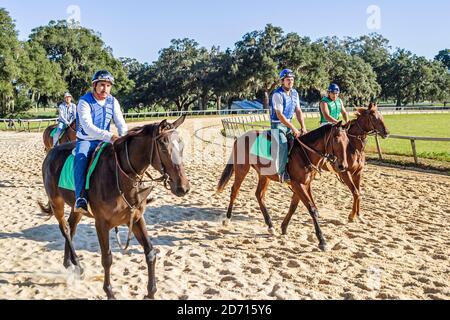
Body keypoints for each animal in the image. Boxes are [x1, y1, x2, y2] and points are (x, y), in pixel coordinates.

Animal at [38, 115, 190, 300]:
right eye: (163, 146)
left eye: (181, 145)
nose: (183, 187)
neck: (121, 176)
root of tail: (51, 153)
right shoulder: (101, 224)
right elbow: (107, 258)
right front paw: (109, 291)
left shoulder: (136, 219)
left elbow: (150, 252)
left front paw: (151, 292)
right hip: (56, 202)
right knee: (65, 228)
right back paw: (76, 264)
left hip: (76, 208)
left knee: (71, 227)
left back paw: (71, 264)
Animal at [216, 121, 350, 251]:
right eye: (336, 138)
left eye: (347, 141)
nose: (343, 166)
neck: (304, 153)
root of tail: (240, 137)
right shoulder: (298, 184)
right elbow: (312, 209)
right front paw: (322, 240)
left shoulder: (304, 185)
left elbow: (294, 206)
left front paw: (284, 227)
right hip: (241, 169)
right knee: (235, 191)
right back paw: (227, 219)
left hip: (264, 175)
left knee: (259, 195)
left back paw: (270, 226)